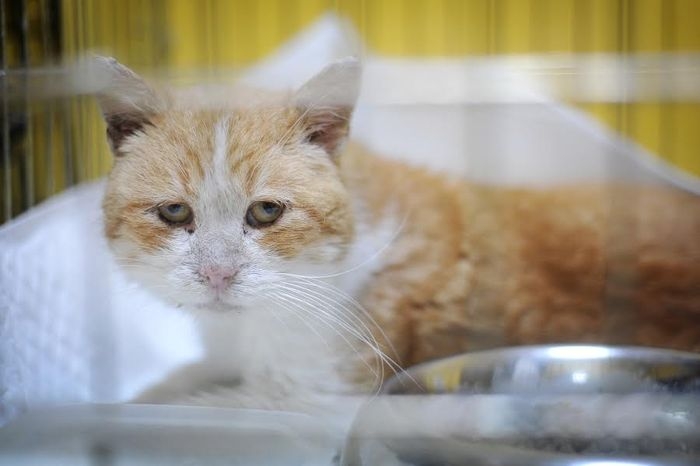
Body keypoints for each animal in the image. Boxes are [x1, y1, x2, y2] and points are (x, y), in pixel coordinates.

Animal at [95, 56, 700, 415]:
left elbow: (189, 411)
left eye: (266, 211)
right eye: (174, 211)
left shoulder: (321, 399)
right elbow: (182, 380)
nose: (217, 273)